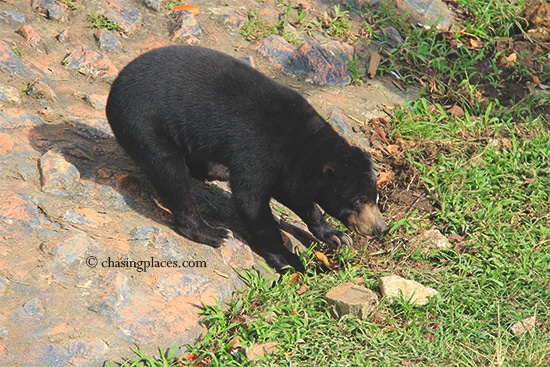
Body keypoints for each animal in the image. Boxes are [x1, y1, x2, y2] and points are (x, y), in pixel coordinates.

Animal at [105, 45, 386, 274]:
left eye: (375, 197)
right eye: (357, 200)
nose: (379, 228)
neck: (304, 144)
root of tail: (115, 86)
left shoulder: (288, 169)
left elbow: (296, 196)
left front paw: (335, 235)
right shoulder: (259, 150)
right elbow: (251, 202)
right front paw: (289, 260)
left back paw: (216, 171)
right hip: (144, 123)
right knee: (169, 172)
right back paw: (213, 232)